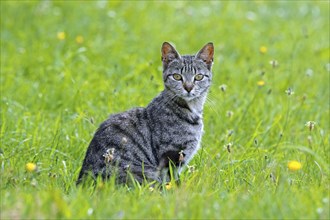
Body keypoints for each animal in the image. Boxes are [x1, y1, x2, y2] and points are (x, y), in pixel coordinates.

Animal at [77, 41, 214, 186]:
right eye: (177, 76)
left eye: (198, 77)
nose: (188, 88)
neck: (192, 109)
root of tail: (82, 182)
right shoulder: (170, 155)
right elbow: (172, 181)